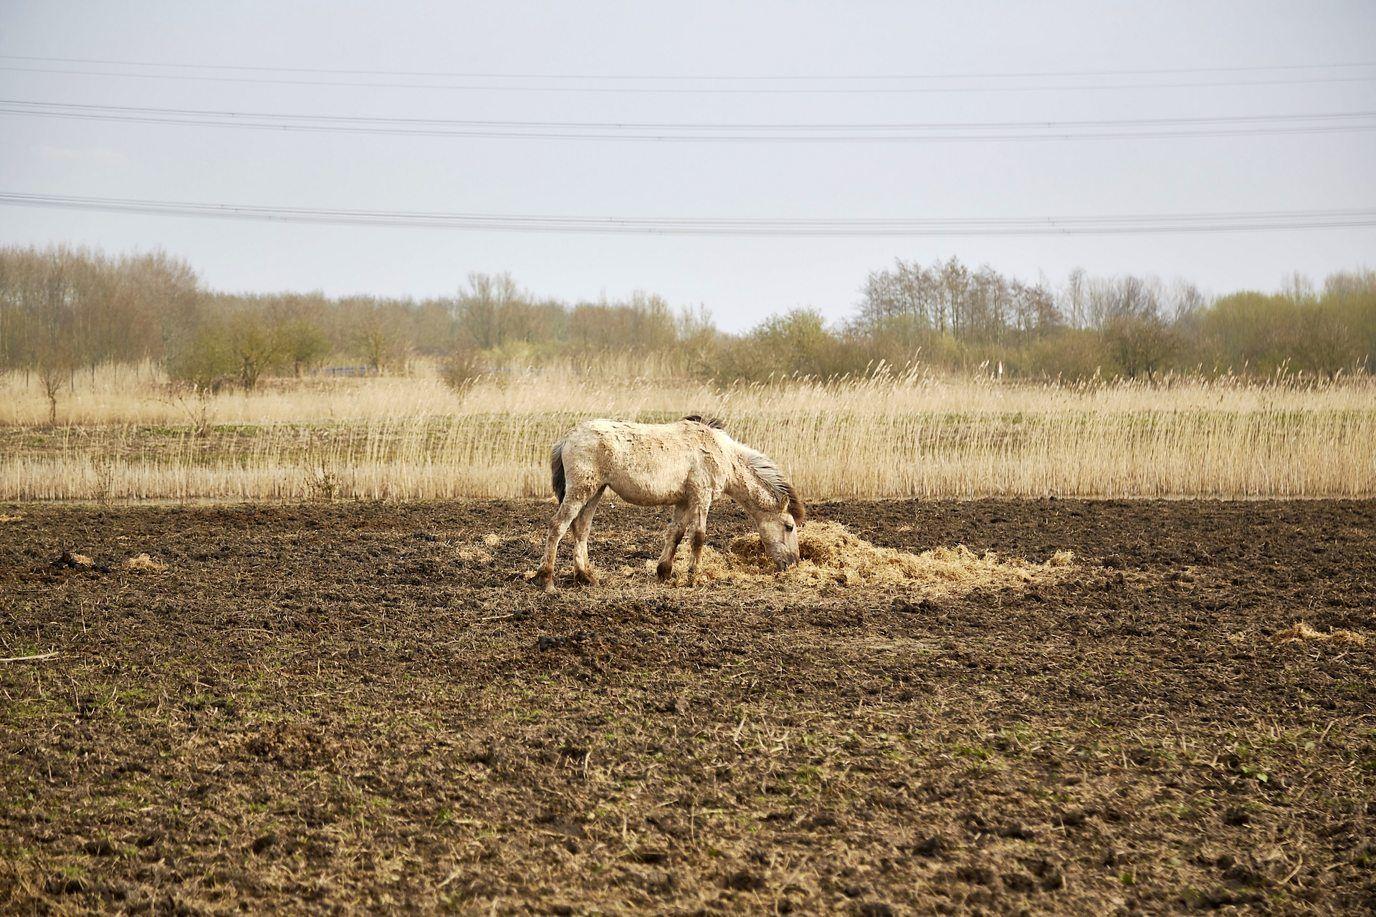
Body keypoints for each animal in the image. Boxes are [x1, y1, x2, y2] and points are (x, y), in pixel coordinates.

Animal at [535, 416, 805, 591]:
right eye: (789, 526)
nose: (793, 563)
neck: (723, 455)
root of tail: (567, 438)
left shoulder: (684, 502)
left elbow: (675, 534)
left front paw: (664, 572)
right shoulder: (701, 497)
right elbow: (698, 537)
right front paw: (693, 577)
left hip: (595, 492)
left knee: (581, 530)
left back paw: (586, 577)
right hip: (580, 491)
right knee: (557, 526)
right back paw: (547, 580)